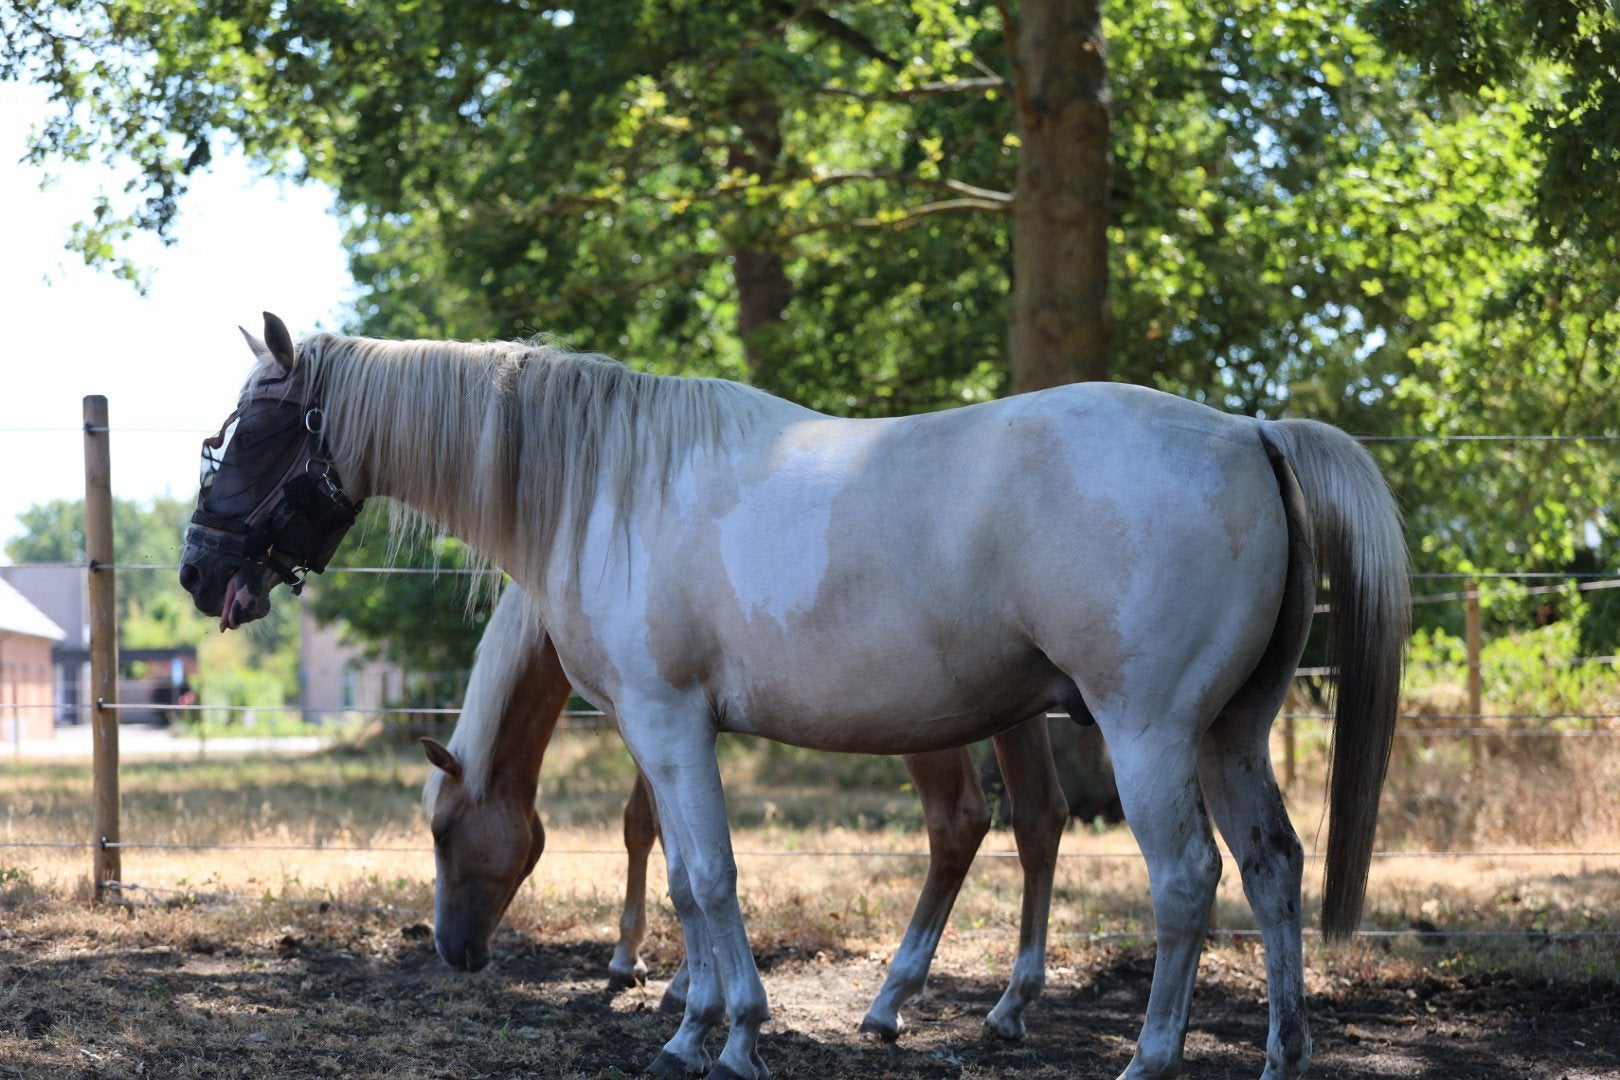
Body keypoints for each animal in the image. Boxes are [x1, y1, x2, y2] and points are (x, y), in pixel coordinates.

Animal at [421, 579, 1068, 1041]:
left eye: (442, 831)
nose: (451, 950)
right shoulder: (664, 719)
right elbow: (662, 836)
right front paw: (655, 967)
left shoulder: (656, 716)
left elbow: (649, 831)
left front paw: (652, 967)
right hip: (1015, 708)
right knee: (1040, 816)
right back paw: (1010, 1006)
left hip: (928, 723)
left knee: (959, 821)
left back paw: (890, 1001)